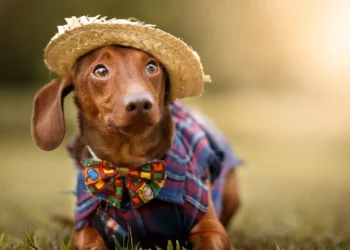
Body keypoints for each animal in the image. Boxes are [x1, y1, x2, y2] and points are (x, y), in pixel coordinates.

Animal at [30, 16, 241, 249]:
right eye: (100, 71)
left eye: (152, 66)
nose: (140, 103)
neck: (128, 166)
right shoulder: (84, 227)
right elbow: (91, 241)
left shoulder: (210, 228)